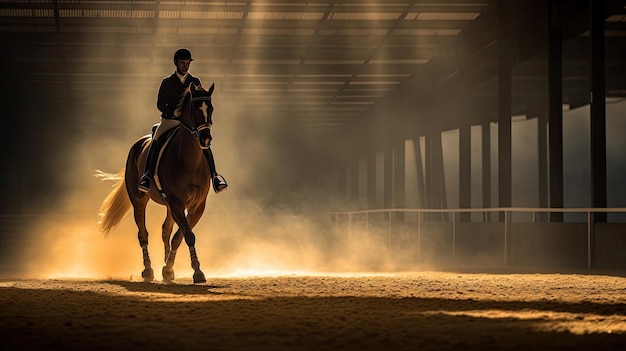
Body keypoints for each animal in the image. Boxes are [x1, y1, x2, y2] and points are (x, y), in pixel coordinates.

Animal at [97, 83, 214, 286]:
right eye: (195, 109)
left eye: (211, 109)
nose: (205, 139)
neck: (190, 160)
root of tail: (138, 143)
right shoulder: (177, 203)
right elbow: (188, 235)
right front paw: (197, 271)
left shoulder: (196, 205)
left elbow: (179, 236)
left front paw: (169, 269)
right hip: (139, 201)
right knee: (143, 234)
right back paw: (148, 271)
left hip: (169, 206)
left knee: (166, 230)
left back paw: (167, 269)